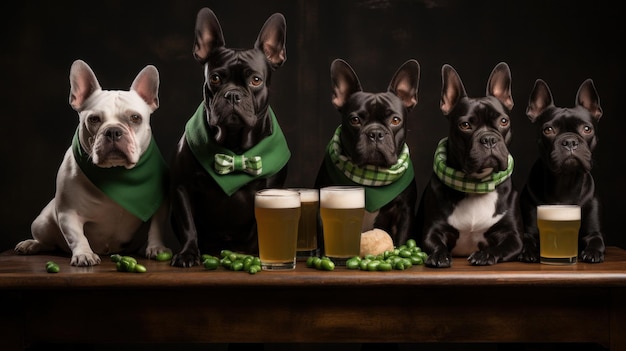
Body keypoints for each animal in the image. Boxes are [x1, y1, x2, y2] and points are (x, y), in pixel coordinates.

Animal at [169, 7, 288, 266]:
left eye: (256, 80)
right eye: (215, 78)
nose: (233, 94)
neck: (235, 147)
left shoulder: (269, 191)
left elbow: (260, 227)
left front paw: (258, 256)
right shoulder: (182, 186)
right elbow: (188, 224)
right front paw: (188, 253)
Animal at [312, 58, 420, 248]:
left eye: (395, 120)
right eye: (355, 120)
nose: (375, 133)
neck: (372, 177)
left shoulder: (404, 211)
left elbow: (401, 239)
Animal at [416, 62, 524, 268]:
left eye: (503, 121)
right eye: (465, 125)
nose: (489, 139)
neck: (476, 185)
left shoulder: (513, 236)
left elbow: (502, 247)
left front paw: (485, 254)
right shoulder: (432, 230)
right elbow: (435, 243)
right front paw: (439, 255)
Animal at [516, 78, 604, 262]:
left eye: (587, 129)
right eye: (548, 130)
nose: (570, 141)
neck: (565, 181)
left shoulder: (594, 233)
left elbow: (596, 240)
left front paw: (592, 252)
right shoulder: (529, 230)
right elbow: (527, 239)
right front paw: (527, 251)